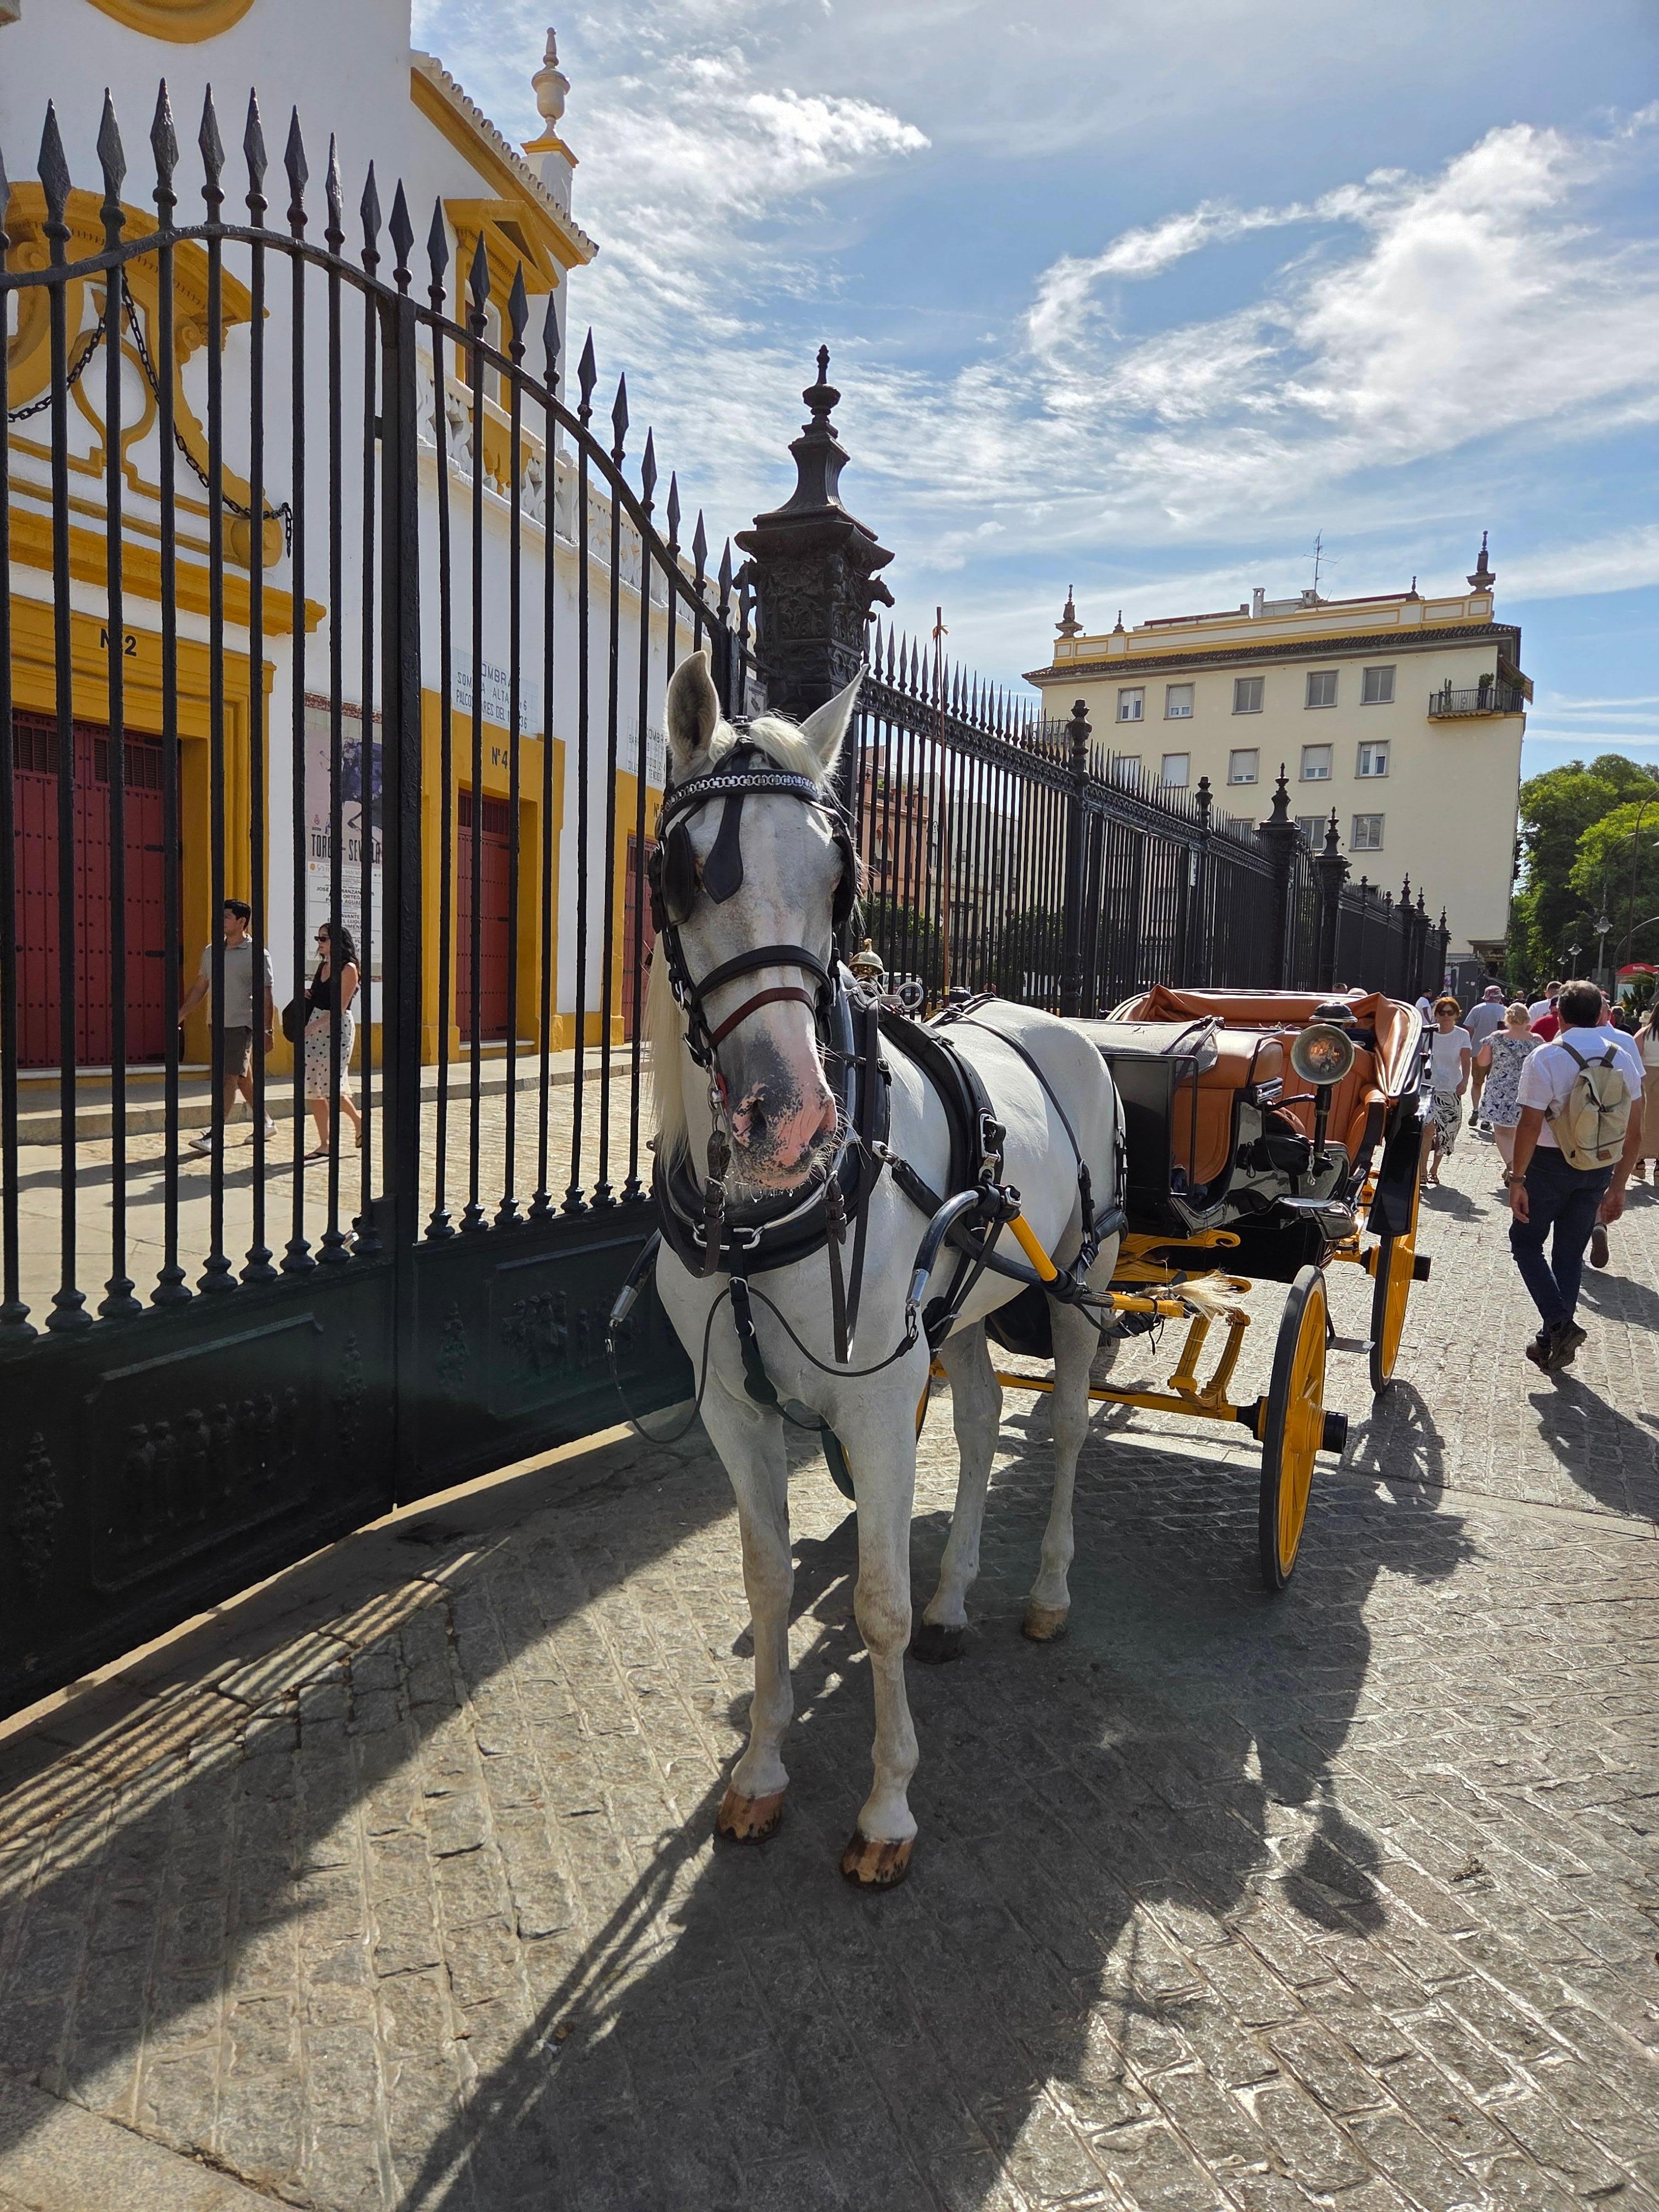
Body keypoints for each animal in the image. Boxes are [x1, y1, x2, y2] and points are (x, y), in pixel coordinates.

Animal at [645, 650, 1122, 1887]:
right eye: (682, 872)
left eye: (837, 875)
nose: (789, 1115)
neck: (759, 1214)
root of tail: (1056, 1021)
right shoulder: (734, 1405)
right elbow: (770, 1581)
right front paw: (761, 1771)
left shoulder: (872, 1401)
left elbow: (874, 1605)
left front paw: (888, 1806)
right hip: (961, 1309)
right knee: (981, 1418)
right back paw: (960, 1594)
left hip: (1081, 1280)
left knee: (1060, 1426)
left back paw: (1048, 1590)